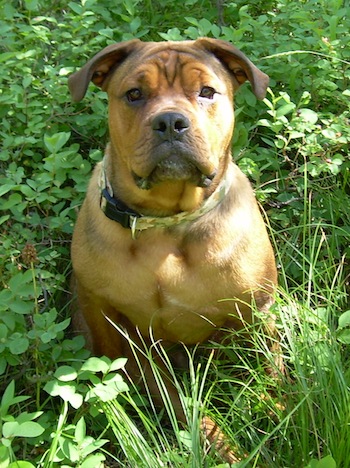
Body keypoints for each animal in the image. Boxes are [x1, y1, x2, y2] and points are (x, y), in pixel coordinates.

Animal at [68, 38, 278, 430]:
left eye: (207, 91)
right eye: (134, 94)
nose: (169, 121)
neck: (166, 222)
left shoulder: (257, 311)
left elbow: (272, 374)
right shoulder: (101, 313)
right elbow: (115, 367)